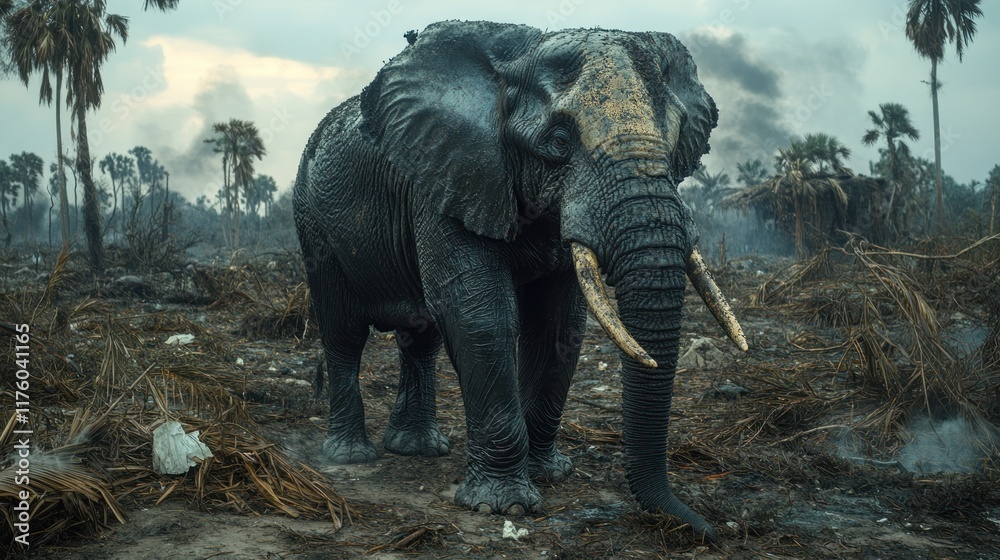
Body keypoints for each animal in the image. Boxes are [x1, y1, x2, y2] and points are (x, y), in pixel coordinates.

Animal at [293, 20, 746, 541]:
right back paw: (350, 456)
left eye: (674, 143)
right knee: (343, 333)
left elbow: (558, 324)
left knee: (421, 336)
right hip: (313, 223)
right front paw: (503, 505)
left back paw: (418, 449)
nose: (712, 530)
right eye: (558, 142)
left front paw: (549, 474)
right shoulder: (451, 177)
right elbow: (479, 315)